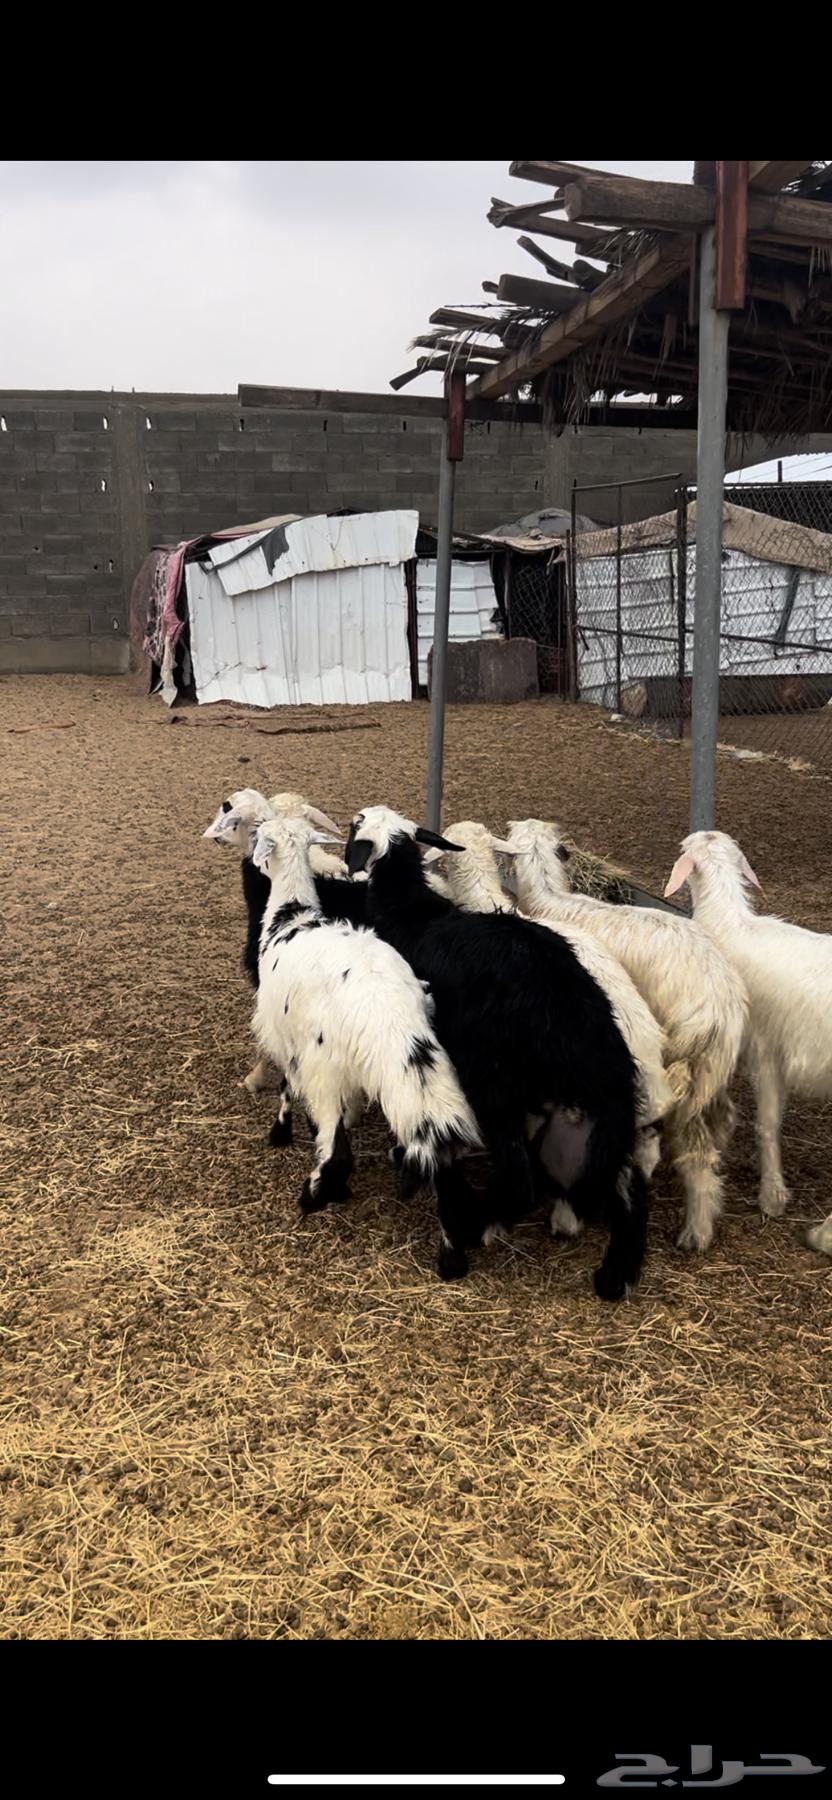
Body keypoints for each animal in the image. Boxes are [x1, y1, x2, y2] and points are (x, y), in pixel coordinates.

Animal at [250, 812, 481, 1239]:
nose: (257, 865)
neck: (290, 917)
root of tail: (384, 1012)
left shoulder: (285, 1036)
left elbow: (287, 1089)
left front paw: (280, 1134)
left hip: (324, 1067)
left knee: (338, 1154)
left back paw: (313, 1198)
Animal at [344, 806, 648, 1299]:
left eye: (356, 824)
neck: (411, 911)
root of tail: (584, 1049)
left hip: (494, 1086)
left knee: (521, 1182)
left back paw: (477, 1222)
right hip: (597, 1125)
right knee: (627, 1185)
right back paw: (615, 1272)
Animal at [505, 818, 747, 1253]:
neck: (552, 899)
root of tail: (724, 1009)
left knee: (697, 1158)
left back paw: (695, 1232)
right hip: (711, 1074)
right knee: (723, 1119)